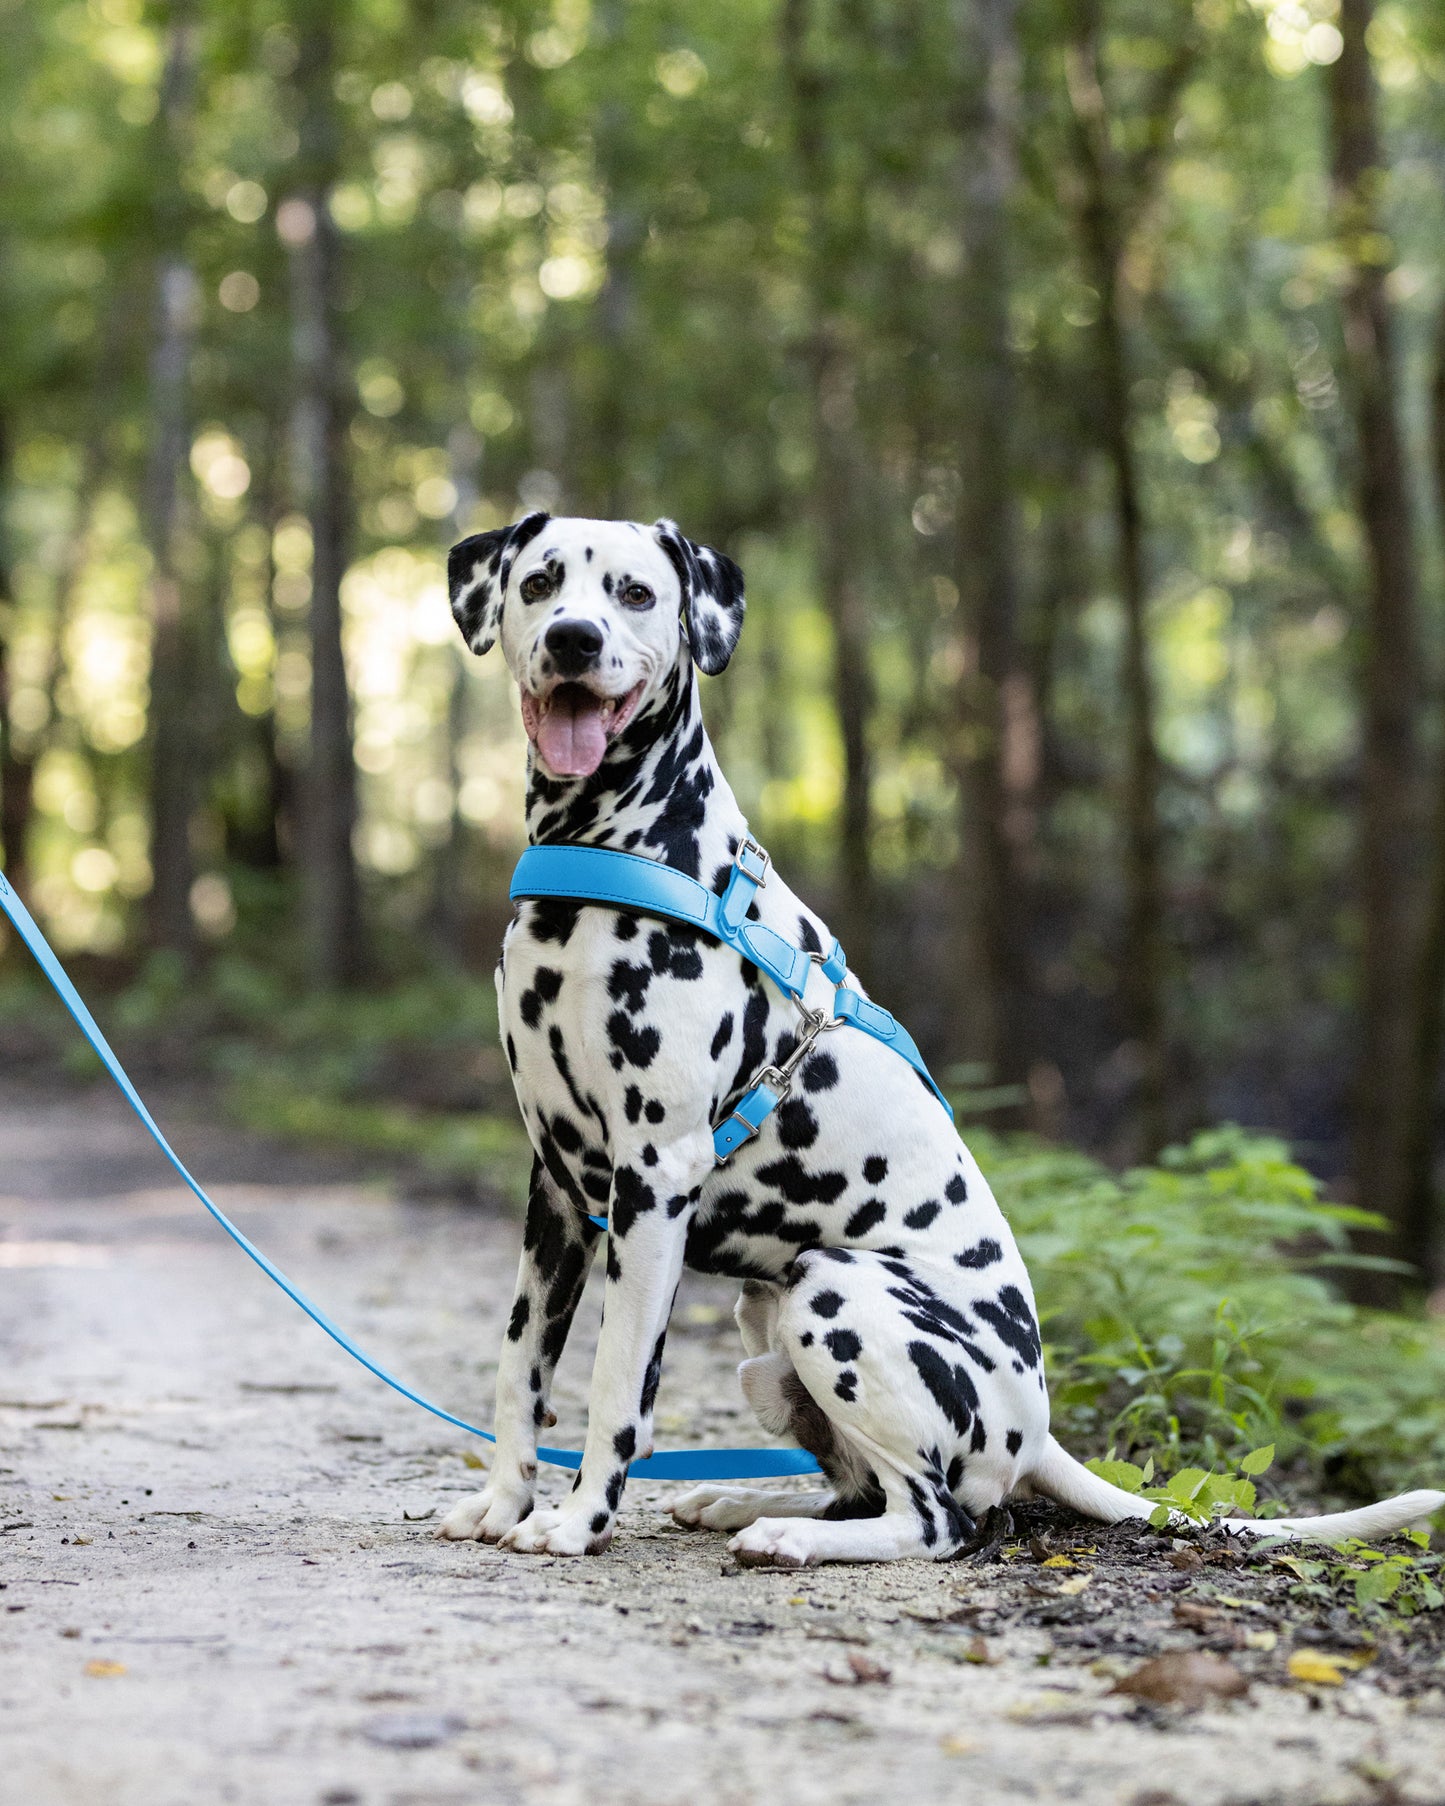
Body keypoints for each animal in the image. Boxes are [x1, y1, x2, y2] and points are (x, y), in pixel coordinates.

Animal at [435, 512, 1445, 1567]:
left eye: (634, 594)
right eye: (541, 582)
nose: (572, 641)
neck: (610, 853)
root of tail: (1039, 1431)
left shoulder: (652, 1180)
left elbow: (616, 1384)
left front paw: (577, 1519)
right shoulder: (557, 1187)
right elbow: (519, 1367)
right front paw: (502, 1503)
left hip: (832, 1291)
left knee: (935, 1520)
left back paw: (787, 1534)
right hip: (766, 1325)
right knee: (857, 1490)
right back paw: (744, 1504)